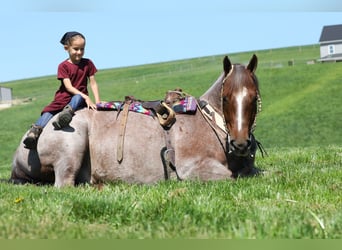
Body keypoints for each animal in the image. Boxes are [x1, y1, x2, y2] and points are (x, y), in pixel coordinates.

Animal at [10, 55, 262, 188]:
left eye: (253, 96)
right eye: (226, 97)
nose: (240, 143)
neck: (210, 123)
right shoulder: (194, 169)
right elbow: (232, 177)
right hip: (71, 147)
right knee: (65, 184)